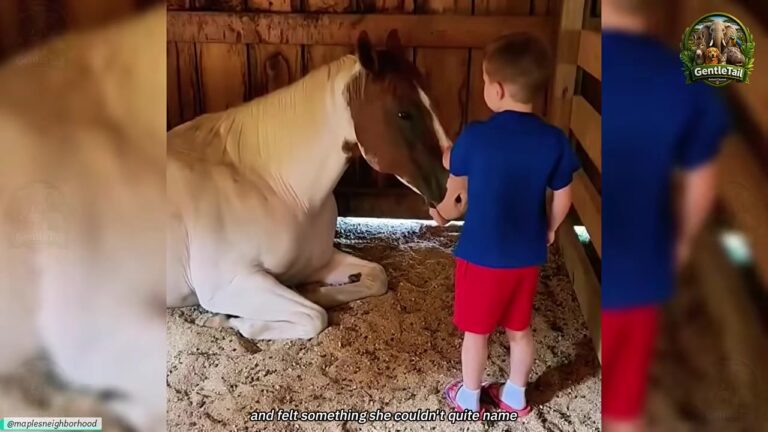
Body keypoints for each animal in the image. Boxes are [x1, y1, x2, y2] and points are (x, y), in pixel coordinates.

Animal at [166, 30, 465, 340]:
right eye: (403, 113)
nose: (459, 196)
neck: (276, 188)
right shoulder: (230, 285)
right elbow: (314, 317)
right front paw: (225, 321)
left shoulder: (319, 261)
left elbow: (375, 278)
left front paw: (313, 291)